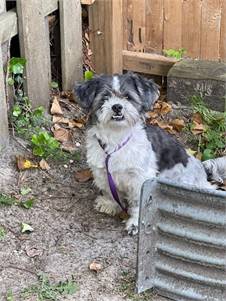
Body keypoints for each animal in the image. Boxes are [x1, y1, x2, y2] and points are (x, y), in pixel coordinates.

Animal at [74, 72, 214, 234]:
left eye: (128, 97)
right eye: (105, 97)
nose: (117, 106)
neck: (116, 138)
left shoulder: (140, 179)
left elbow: (138, 203)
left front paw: (135, 223)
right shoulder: (103, 173)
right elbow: (110, 192)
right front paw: (110, 204)